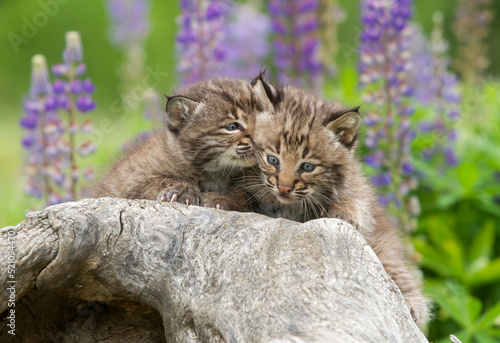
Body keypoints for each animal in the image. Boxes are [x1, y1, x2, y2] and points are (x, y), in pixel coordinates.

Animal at [91, 77, 268, 211]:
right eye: (232, 127)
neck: (214, 170)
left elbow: (243, 195)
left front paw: (220, 199)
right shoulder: (131, 177)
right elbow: (157, 180)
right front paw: (182, 192)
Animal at [243, 74, 430, 326]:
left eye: (307, 167)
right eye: (272, 159)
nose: (284, 187)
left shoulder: (360, 195)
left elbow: (354, 200)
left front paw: (344, 212)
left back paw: (412, 304)